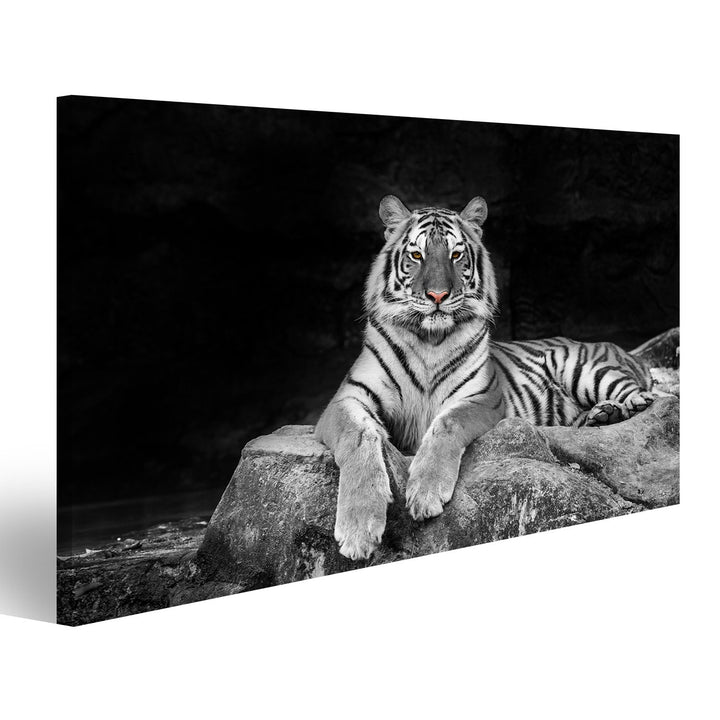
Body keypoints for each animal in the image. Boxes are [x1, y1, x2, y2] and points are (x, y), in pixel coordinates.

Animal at [315, 195, 655, 561]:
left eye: (456, 254)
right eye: (417, 255)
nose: (438, 296)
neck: (428, 340)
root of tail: (622, 350)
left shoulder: (481, 398)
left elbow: (447, 424)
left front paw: (425, 493)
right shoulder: (348, 397)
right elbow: (358, 437)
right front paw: (358, 529)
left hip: (584, 368)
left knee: (647, 395)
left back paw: (622, 407)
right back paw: (602, 415)